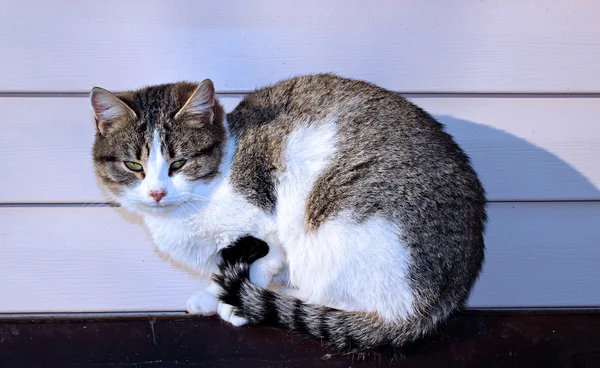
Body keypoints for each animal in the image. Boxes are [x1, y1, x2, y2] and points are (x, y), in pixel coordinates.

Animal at [90, 74, 488, 350]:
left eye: (179, 163)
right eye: (134, 166)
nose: (157, 192)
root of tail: (438, 305)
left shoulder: (267, 229)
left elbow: (265, 261)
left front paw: (236, 303)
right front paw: (211, 294)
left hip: (339, 232)